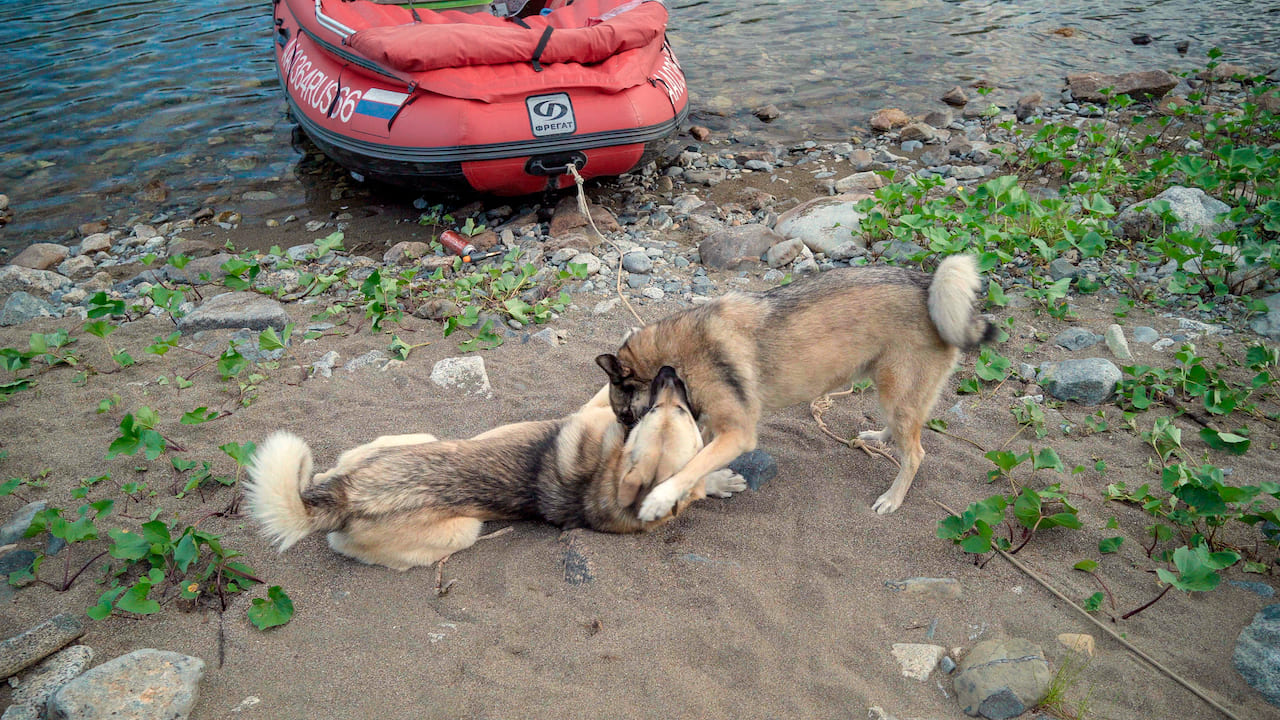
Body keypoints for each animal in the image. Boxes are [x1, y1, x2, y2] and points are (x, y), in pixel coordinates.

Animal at [244, 366, 747, 568]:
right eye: (660, 409)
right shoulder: (595, 411)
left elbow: (696, 477)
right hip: (454, 510)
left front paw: (717, 480)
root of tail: (345, 494)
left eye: (679, 411)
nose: (668, 371)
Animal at [593, 254, 993, 517]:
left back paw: (892, 498)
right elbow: (697, 464)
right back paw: (879, 438)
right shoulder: (708, 426)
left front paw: (659, 498)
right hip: (890, 393)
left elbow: (691, 467)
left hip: (898, 394)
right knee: (901, 432)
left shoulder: (737, 434)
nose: (622, 463)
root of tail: (929, 287)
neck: (675, 357)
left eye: (628, 417)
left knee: (915, 454)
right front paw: (717, 484)